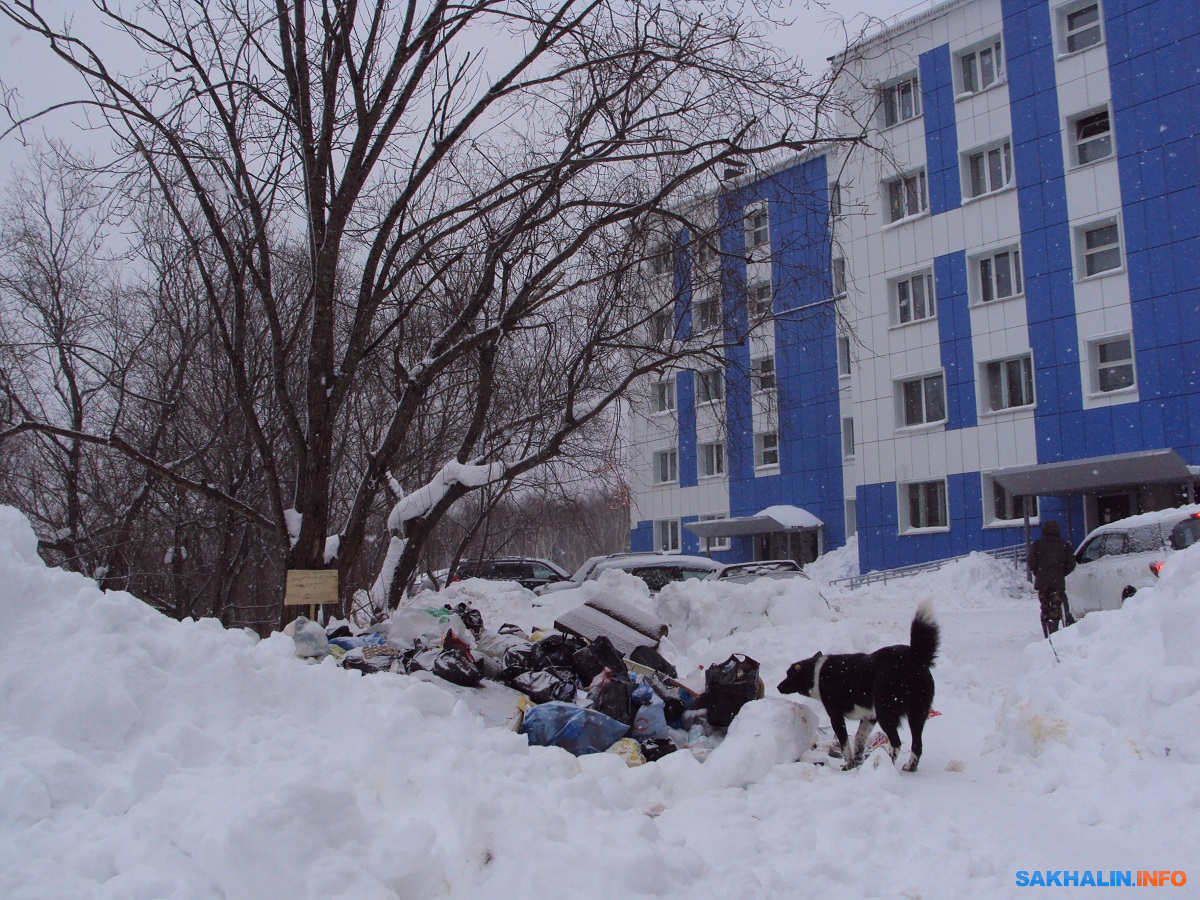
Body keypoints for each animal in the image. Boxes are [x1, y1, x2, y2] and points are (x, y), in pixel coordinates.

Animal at [782, 602, 940, 772]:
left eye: (789, 674)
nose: (778, 686)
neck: (817, 673)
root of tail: (914, 658)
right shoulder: (869, 717)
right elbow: (859, 739)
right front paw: (858, 761)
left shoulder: (836, 717)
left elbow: (845, 744)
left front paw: (850, 764)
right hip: (917, 714)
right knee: (917, 745)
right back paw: (910, 766)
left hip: (886, 713)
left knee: (896, 743)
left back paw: (887, 763)